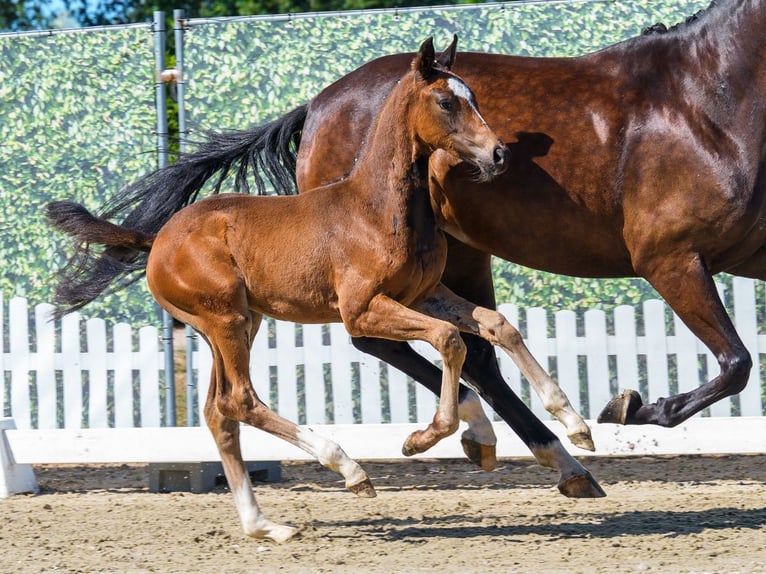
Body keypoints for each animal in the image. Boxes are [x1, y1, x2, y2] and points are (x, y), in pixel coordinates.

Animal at [47, 37, 604, 543]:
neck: (376, 208)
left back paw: (265, 526)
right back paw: (349, 469)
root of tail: (156, 239)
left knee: (217, 413)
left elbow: (494, 324)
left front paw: (573, 424)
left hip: (237, 323)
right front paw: (427, 439)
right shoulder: (362, 310)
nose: (499, 154)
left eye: (475, 97)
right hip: (225, 320)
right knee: (241, 401)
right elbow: (450, 341)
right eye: (447, 101)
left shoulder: (423, 294)